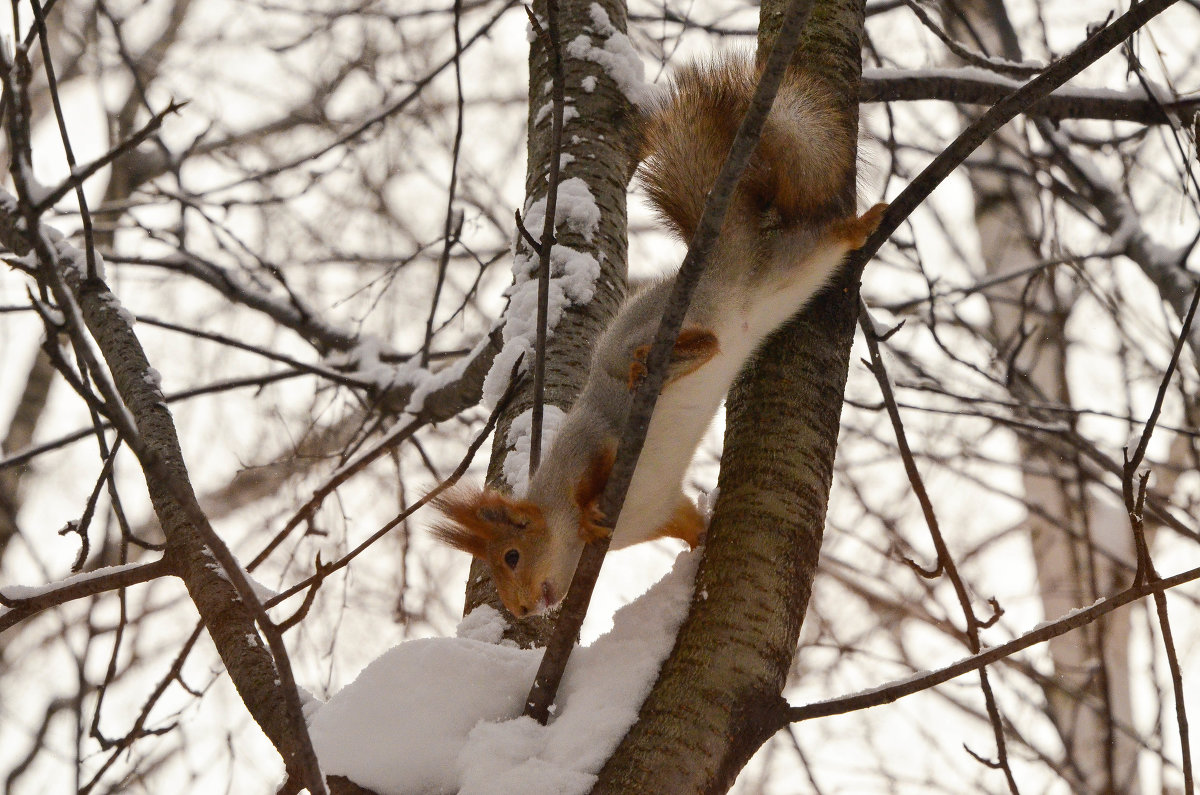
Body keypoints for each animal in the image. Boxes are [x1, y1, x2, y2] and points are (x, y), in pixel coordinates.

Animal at [429, 56, 883, 619]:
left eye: (511, 556)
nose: (519, 611)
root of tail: (723, 259)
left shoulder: (592, 439)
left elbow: (595, 468)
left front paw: (588, 511)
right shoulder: (660, 511)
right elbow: (687, 521)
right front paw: (701, 543)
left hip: (698, 304)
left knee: (816, 245)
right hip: (784, 280)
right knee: (800, 268)